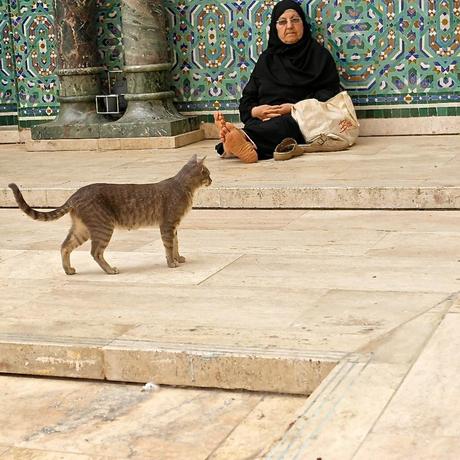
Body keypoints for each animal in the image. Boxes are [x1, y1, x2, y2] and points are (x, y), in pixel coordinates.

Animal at [9, 155, 211, 276]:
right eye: (207, 173)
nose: (212, 179)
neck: (183, 186)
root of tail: (76, 194)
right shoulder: (168, 225)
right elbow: (169, 246)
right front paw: (172, 263)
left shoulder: (174, 226)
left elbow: (176, 244)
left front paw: (178, 258)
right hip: (103, 227)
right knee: (95, 252)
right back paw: (110, 270)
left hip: (82, 230)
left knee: (65, 246)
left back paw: (69, 270)